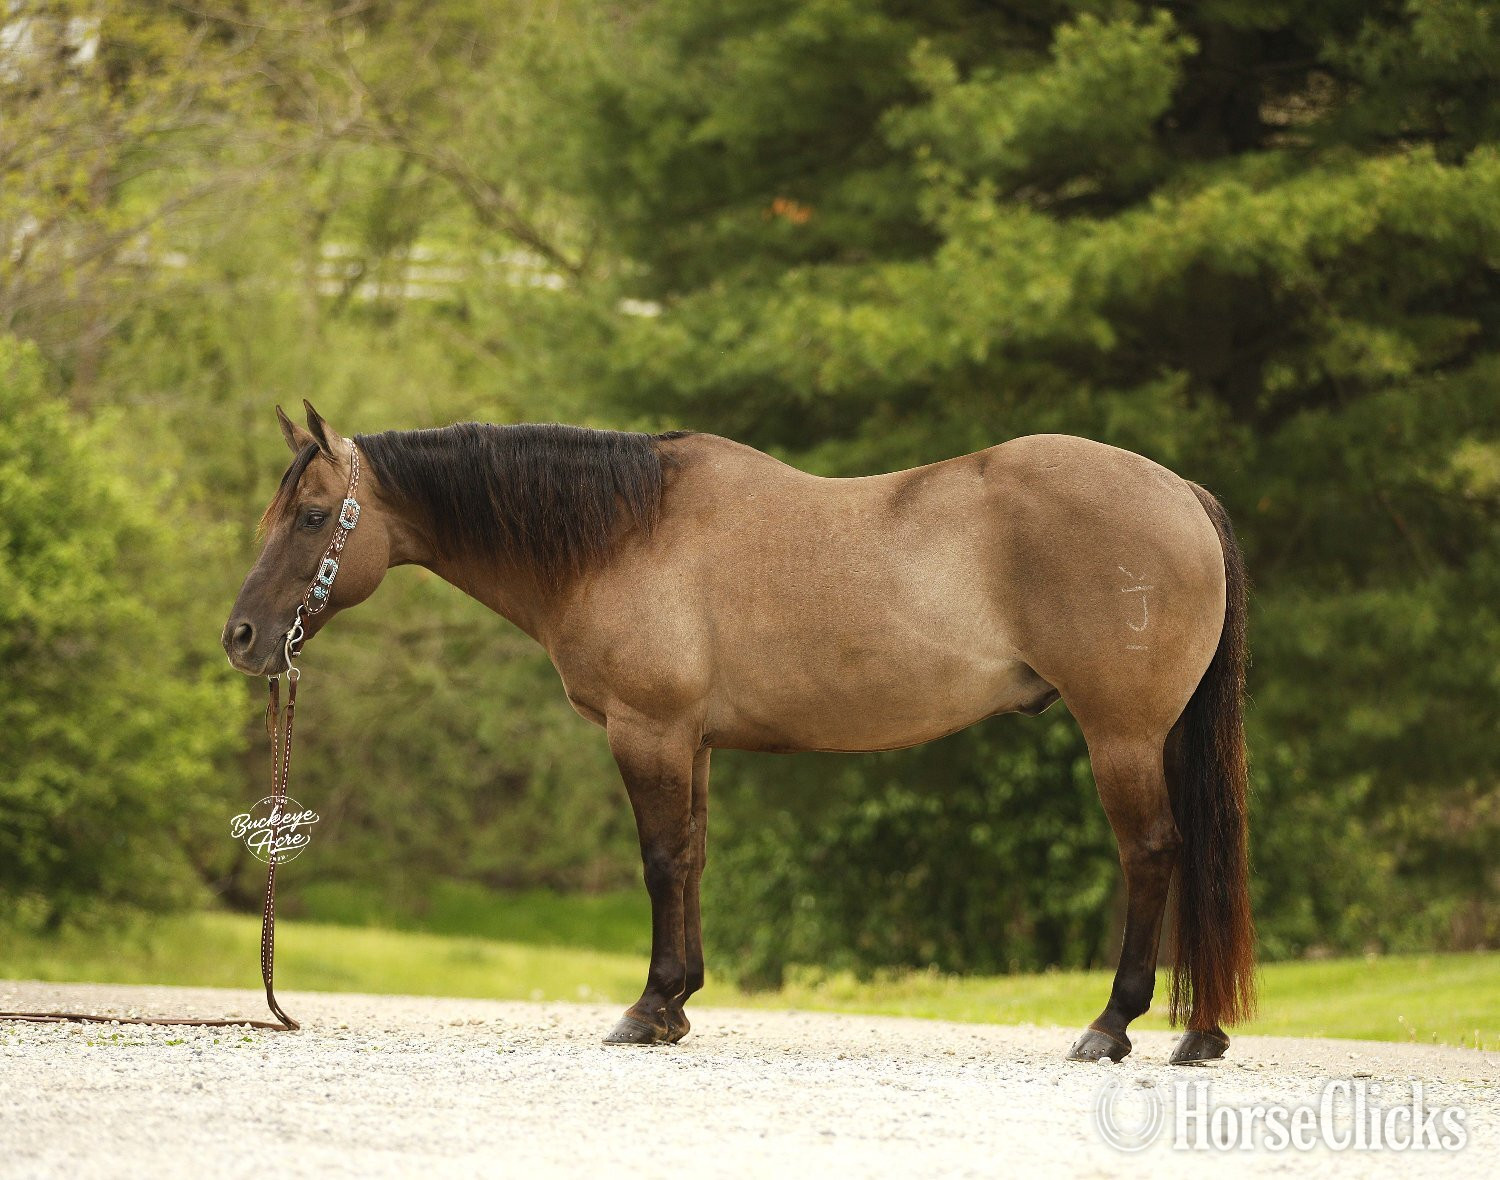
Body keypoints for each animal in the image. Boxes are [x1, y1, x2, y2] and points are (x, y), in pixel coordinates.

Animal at [223, 402, 1254, 1065]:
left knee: (1151, 853)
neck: (624, 535)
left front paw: (647, 1009)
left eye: (311, 516)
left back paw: (1112, 1027)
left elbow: (659, 860)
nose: (242, 639)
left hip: (1121, 735)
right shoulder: (695, 742)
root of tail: (1181, 493)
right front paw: (678, 1004)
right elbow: (693, 857)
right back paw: (1198, 1034)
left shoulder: (648, 731)